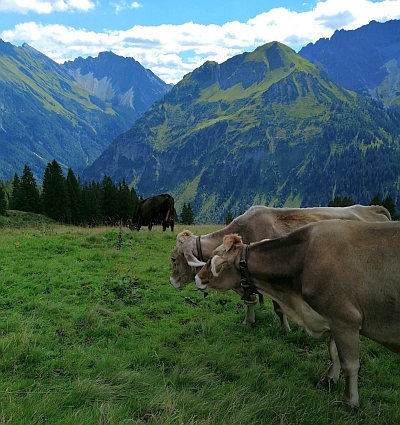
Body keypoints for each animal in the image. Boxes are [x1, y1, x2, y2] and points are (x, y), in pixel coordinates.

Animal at [170, 204, 390, 326]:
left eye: (173, 259)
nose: (172, 282)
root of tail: (372, 208)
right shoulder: (245, 279)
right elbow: (249, 301)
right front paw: (248, 321)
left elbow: (278, 309)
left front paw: (285, 329)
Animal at [195, 219, 400, 410]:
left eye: (213, 260)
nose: (197, 278)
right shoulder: (332, 317)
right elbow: (333, 352)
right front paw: (329, 379)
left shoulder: (345, 319)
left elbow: (349, 365)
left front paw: (349, 403)